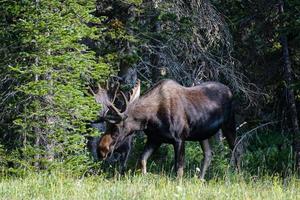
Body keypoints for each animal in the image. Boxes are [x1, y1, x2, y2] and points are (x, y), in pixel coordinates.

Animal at [96, 79, 237, 179]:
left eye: (116, 129)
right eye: (106, 127)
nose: (101, 151)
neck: (151, 119)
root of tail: (230, 91)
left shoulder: (179, 138)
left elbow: (179, 169)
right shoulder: (154, 139)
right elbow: (142, 160)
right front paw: (145, 177)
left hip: (229, 124)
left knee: (236, 150)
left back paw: (235, 177)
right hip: (202, 135)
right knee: (208, 154)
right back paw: (200, 180)